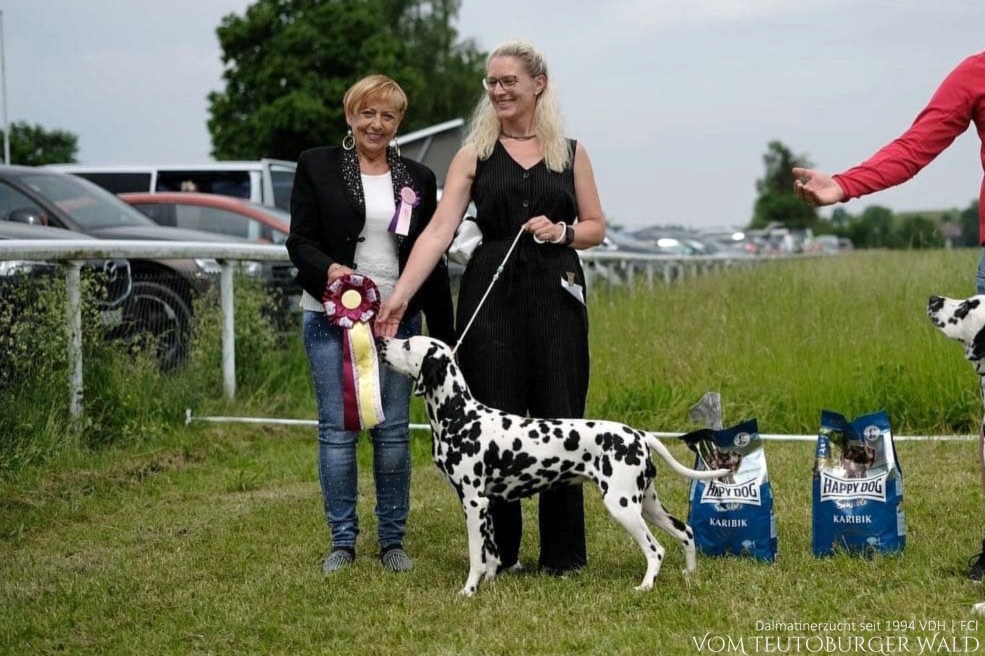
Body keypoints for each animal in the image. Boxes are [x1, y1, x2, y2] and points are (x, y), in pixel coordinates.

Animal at [376, 336, 732, 596]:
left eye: (407, 344)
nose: (381, 340)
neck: (460, 417)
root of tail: (639, 435)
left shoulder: (473, 502)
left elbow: (477, 556)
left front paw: (469, 591)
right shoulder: (487, 504)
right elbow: (492, 553)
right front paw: (490, 582)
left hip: (622, 507)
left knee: (656, 549)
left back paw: (645, 586)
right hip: (647, 504)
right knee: (685, 532)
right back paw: (690, 575)